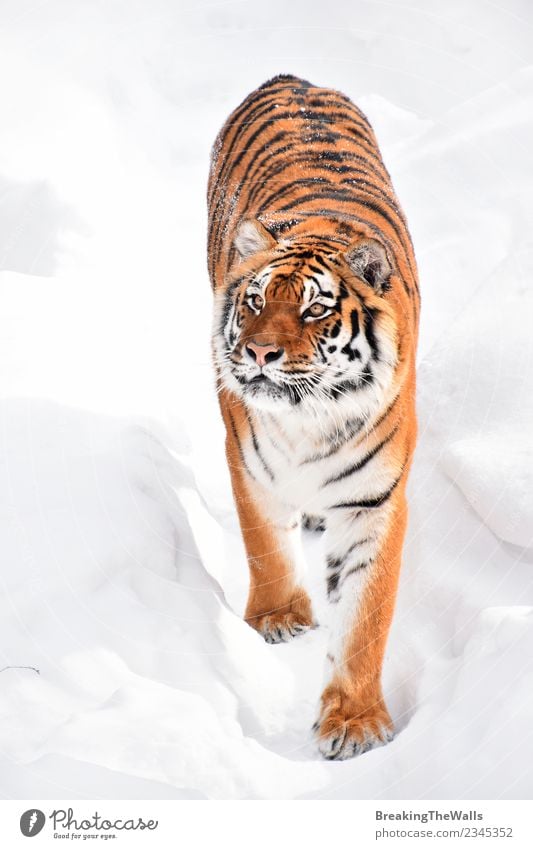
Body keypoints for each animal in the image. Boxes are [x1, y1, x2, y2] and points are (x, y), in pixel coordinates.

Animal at [206, 74, 418, 760]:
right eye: (254, 301)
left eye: (313, 310)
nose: (257, 353)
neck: (308, 414)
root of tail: (290, 77)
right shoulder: (248, 463)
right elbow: (265, 547)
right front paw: (279, 621)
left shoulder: (375, 499)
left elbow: (365, 617)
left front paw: (355, 721)